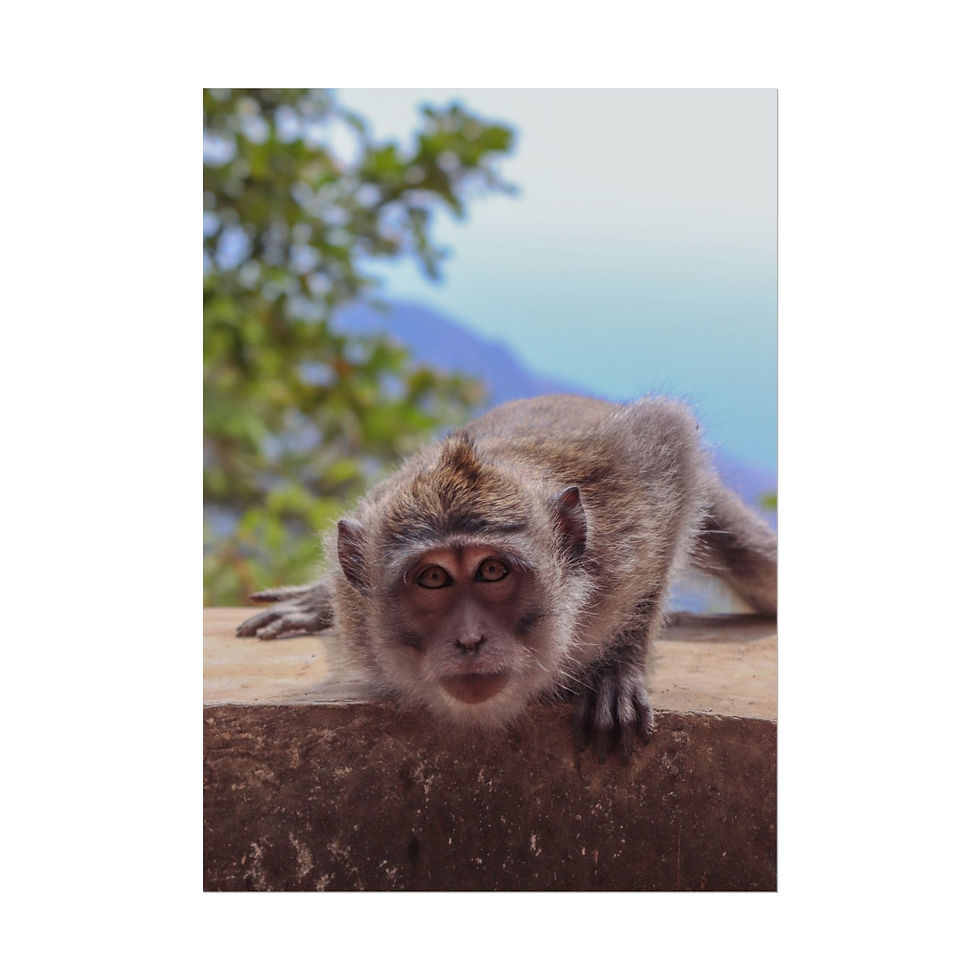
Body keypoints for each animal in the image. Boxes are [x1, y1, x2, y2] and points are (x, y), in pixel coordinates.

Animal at [236, 394, 776, 761]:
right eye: (433, 578)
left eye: (492, 571)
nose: (470, 640)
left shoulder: (626, 503)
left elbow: (672, 441)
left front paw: (616, 667)